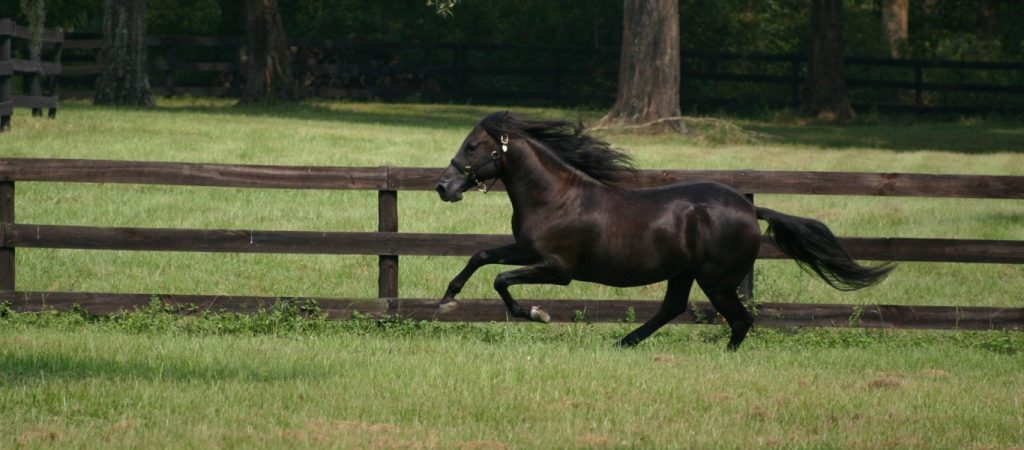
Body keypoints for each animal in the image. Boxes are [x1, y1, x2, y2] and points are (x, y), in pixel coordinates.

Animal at [432, 112, 888, 352]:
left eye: (472, 146)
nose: (443, 187)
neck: (557, 197)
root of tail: (750, 207)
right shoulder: (526, 250)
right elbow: (480, 257)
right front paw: (447, 300)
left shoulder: (557, 269)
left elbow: (500, 279)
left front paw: (535, 314)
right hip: (683, 273)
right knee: (674, 308)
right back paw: (625, 342)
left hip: (716, 279)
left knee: (741, 319)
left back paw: (723, 355)